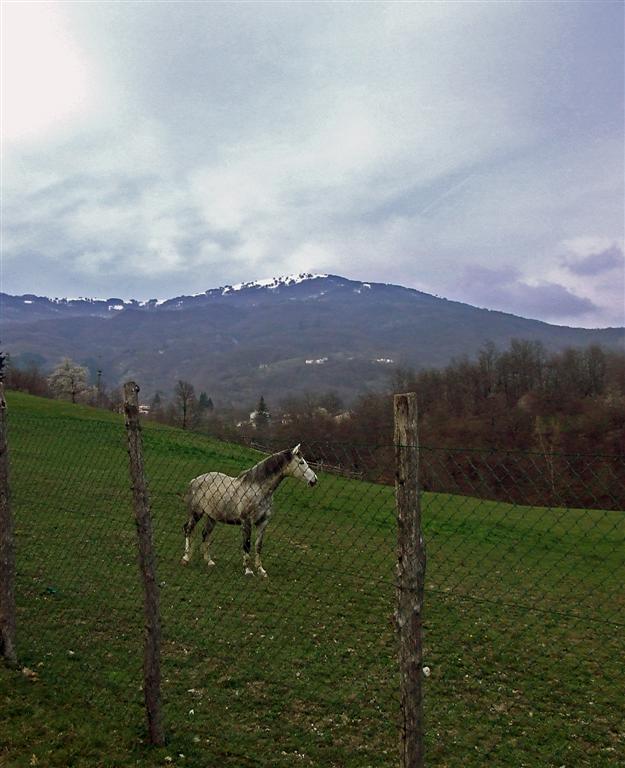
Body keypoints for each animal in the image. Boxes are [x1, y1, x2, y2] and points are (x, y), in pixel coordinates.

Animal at [181, 444, 317, 577]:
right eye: (301, 462)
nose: (314, 480)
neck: (258, 489)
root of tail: (195, 480)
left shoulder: (263, 522)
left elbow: (258, 546)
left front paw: (261, 570)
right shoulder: (247, 522)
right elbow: (247, 544)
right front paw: (248, 570)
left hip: (212, 517)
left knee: (205, 534)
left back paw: (209, 561)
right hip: (196, 513)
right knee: (188, 529)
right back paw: (186, 558)